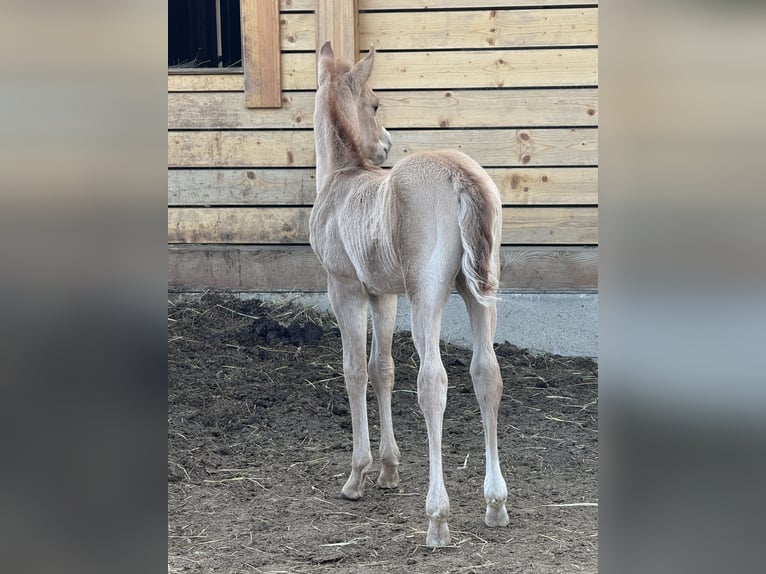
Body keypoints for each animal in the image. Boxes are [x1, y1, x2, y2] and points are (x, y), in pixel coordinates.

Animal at [309, 41, 509, 547]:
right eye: (376, 104)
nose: (384, 145)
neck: (342, 178)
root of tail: (460, 173)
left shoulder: (344, 288)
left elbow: (355, 371)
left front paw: (357, 475)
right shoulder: (383, 295)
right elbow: (383, 370)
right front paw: (388, 470)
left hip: (427, 295)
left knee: (433, 383)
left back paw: (437, 517)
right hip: (479, 293)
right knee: (487, 374)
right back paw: (495, 503)